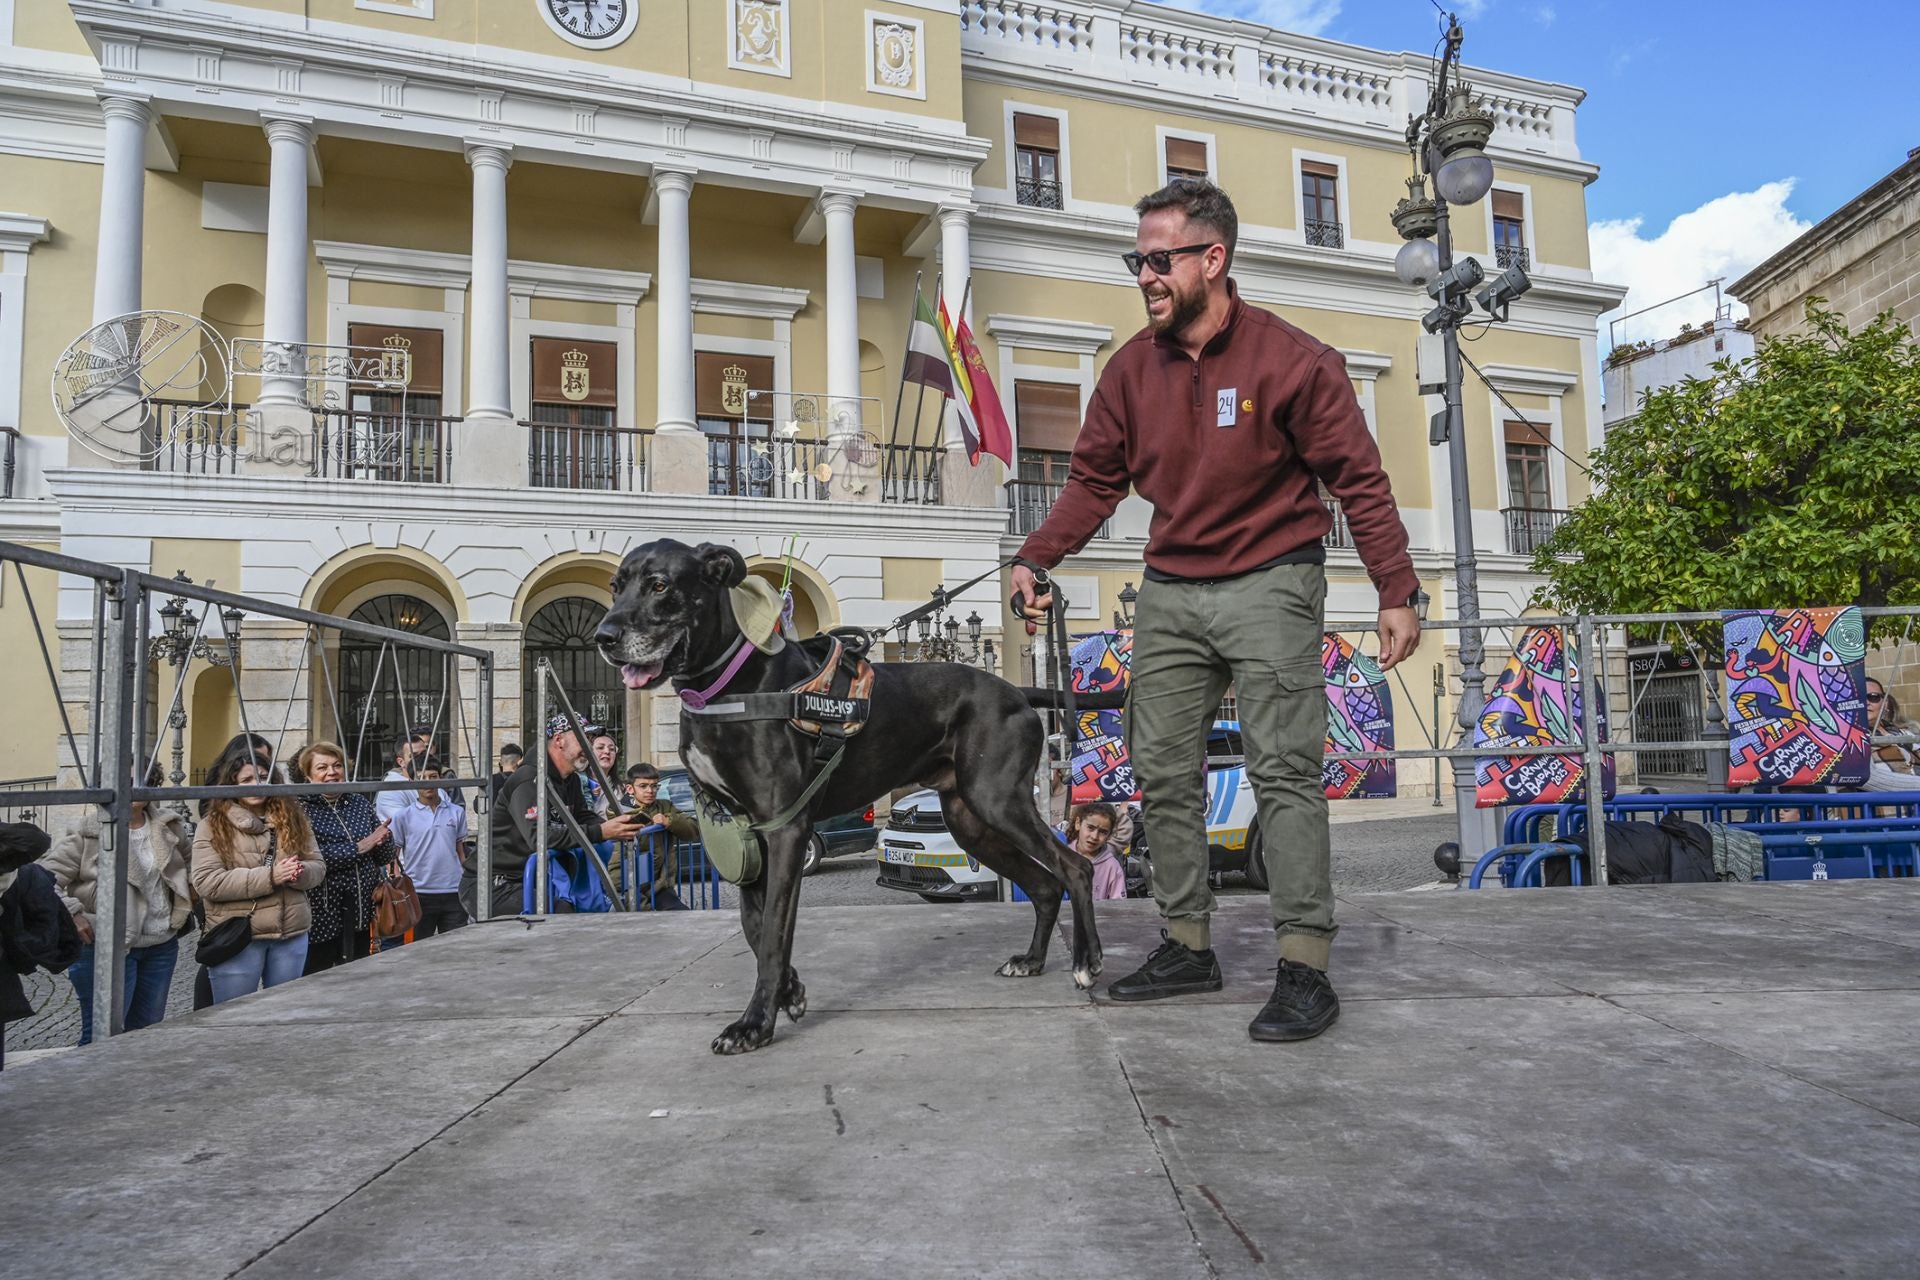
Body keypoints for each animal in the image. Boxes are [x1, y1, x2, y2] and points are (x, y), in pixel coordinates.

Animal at [599, 537, 1098, 1051]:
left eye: (660, 585)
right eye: (616, 586)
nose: (604, 637)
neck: (727, 686)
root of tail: (1018, 691)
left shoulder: (785, 826)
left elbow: (774, 932)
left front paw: (754, 1024)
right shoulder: (744, 832)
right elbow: (755, 927)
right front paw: (790, 992)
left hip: (998, 801)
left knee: (1075, 868)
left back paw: (1086, 963)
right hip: (971, 821)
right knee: (1045, 885)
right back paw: (1032, 960)